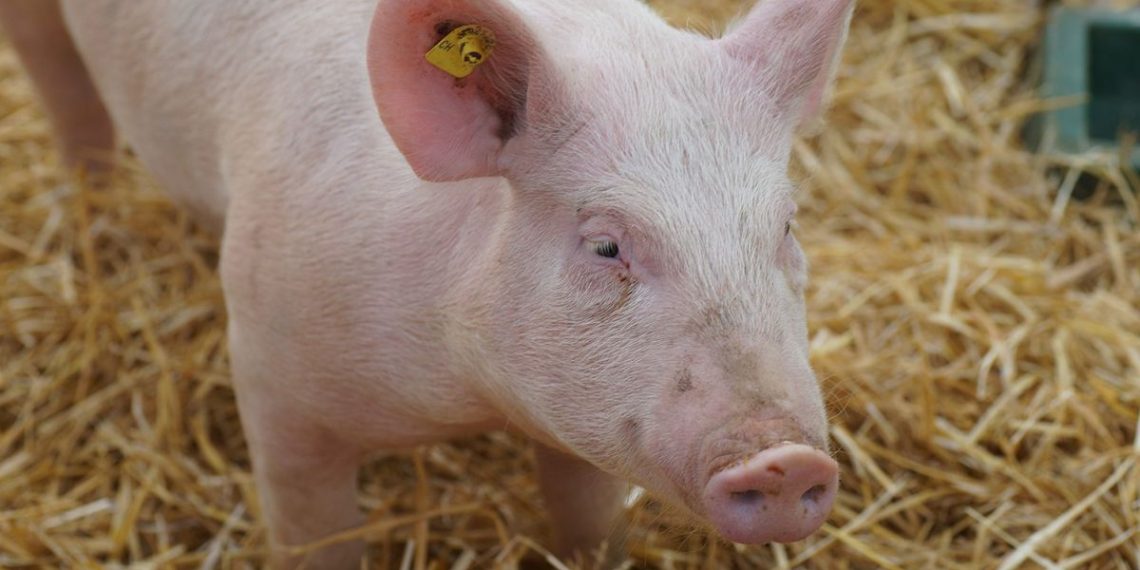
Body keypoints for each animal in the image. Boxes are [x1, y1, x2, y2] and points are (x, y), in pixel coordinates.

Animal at [0, 0, 853, 566]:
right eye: (606, 244)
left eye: (785, 227)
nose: (785, 460)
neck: (464, 395)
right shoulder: (273, 381)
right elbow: (314, 534)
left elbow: (586, 517)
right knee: (66, 94)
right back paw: (90, 214)